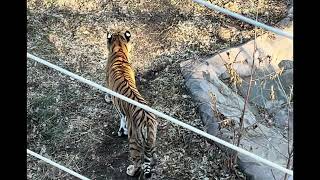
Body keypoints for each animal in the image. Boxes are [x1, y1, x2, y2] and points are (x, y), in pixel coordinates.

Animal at [104, 30, 158, 179]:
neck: (119, 49)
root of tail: (148, 122)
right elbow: (122, 117)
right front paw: (121, 129)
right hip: (151, 140)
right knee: (151, 157)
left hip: (134, 142)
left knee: (138, 162)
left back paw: (131, 171)